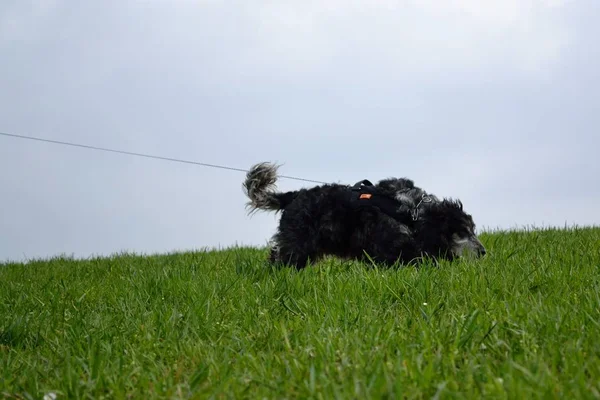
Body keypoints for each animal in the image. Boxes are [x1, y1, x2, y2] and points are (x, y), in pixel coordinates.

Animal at [241, 162, 486, 268]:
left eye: (473, 230)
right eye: (462, 232)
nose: (483, 252)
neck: (413, 212)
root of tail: (293, 196)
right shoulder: (389, 248)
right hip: (297, 243)